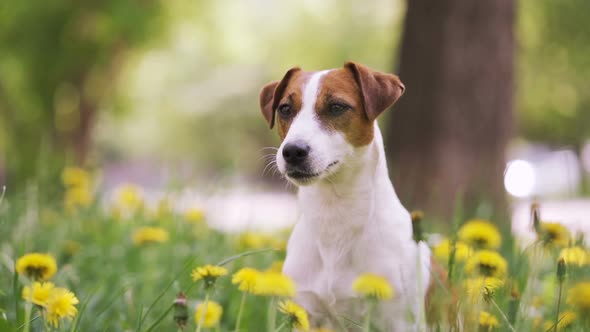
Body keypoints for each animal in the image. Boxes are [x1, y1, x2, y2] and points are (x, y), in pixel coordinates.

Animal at [262, 61, 438, 330]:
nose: (292, 151)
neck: (335, 214)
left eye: (336, 107)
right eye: (285, 109)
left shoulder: (400, 319)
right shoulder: (305, 313)